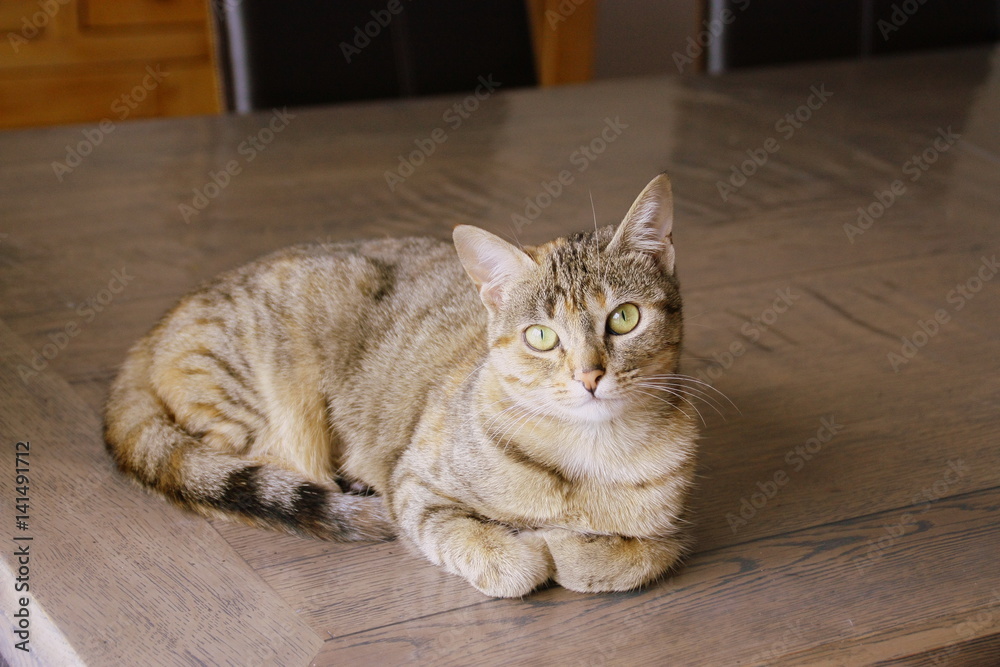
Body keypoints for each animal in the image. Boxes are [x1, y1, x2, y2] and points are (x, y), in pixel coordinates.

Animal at [103, 174, 696, 600]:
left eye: (624, 319)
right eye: (542, 337)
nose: (590, 376)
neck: (589, 456)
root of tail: (158, 325)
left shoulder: (674, 528)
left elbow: (637, 557)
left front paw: (575, 547)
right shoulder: (414, 485)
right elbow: (485, 550)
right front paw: (530, 547)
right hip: (258, 411)